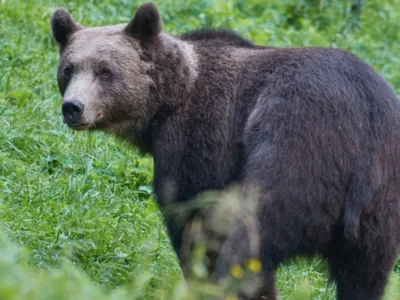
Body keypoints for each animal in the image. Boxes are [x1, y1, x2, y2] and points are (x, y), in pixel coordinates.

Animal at [50, 2, 400, 300]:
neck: (166, 105)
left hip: (298, 146)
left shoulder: (200, 137)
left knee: (253, 236)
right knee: (365, 274)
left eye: (105, 71)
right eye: (69, 69)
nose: (73, 107)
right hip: (381, 200)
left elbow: (195, 217)